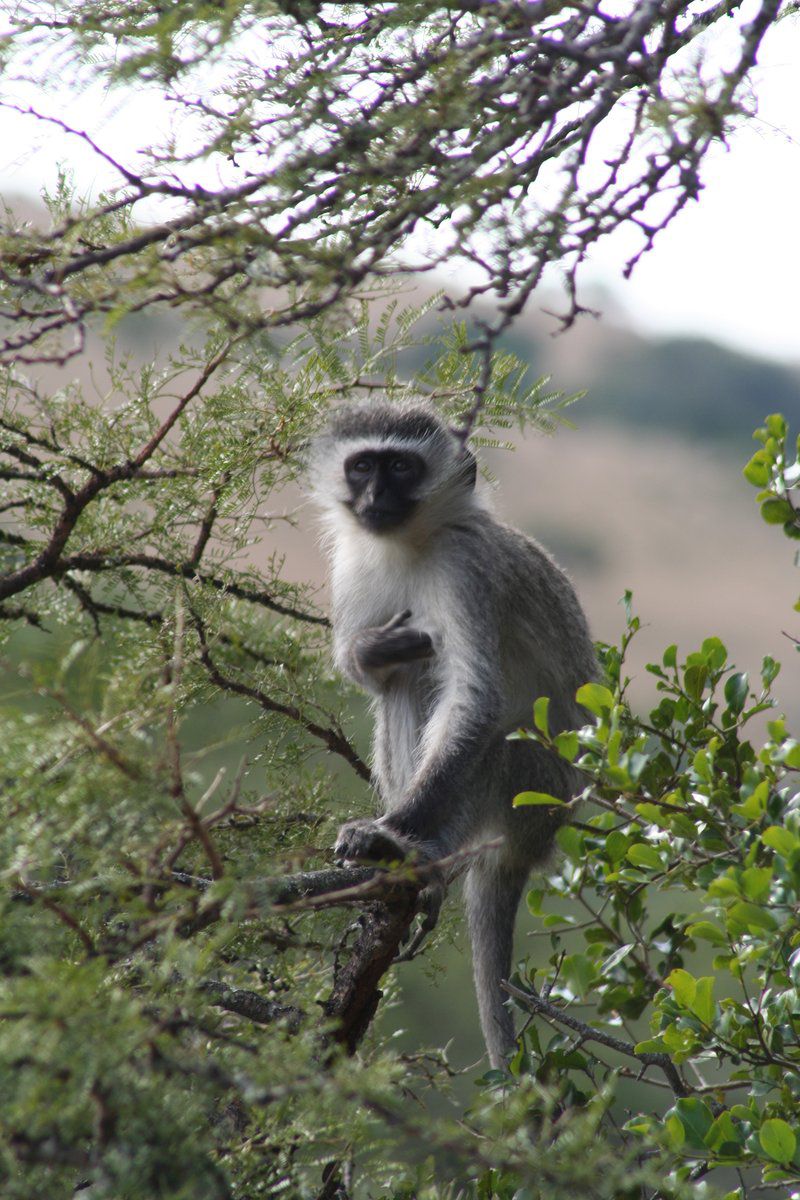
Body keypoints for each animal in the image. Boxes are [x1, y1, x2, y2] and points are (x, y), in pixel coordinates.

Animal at [309, 403, 597, 1070]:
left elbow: (475, 699)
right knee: (405, 684)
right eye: (362, 466)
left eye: (400, 468)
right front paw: (370, 652)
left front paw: (386, 832)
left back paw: (422, 852)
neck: (409, 545)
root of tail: (531, 848)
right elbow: (369, 672)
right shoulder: (351, 563)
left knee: (494, 743)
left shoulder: (466, 569)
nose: (375, 497)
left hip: (535, 792)